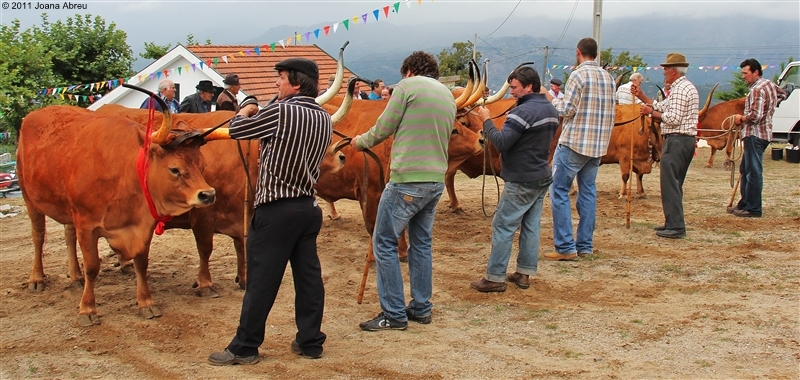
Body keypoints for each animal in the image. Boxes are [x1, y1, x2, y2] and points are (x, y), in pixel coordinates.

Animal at [18, 101, 217, 326]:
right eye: (174, 169)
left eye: (202, 166)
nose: (208, 194)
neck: (124, 173)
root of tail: (33, 115)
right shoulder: (86, 226)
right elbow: (92, 267)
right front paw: (87, 309)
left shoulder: (142, 226)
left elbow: (141, 264)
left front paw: (145, 302)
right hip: (29, 198)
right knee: (38, 236)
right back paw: (37, 278)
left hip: (67, 208)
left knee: (68, 235)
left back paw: (75, 275)